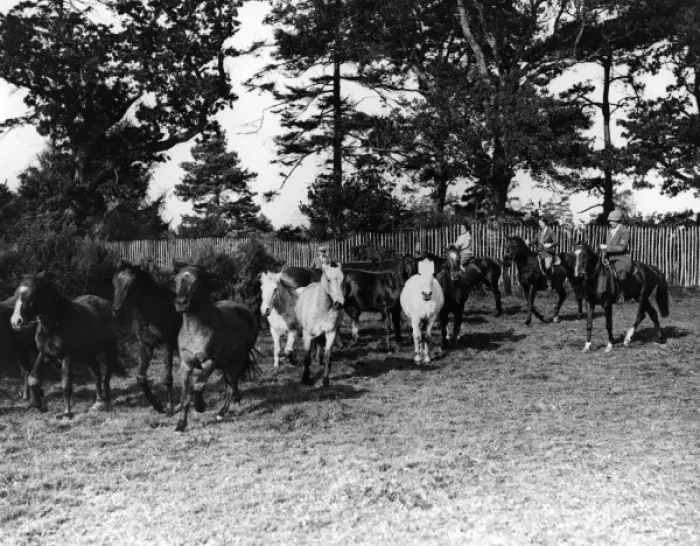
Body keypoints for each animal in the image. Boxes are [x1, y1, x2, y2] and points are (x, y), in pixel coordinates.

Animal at [10, 273, 127, 418]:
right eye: (16, 295)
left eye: (32, 296)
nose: (16, 322)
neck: (54, 326)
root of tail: (106, 303)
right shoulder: (45, 354)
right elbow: (33, 378)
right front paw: (39, 405)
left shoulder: (67, 356)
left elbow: (66, 385)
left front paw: (66, 413)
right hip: (88, 355)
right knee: (97, 372)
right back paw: (98, 402)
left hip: (109, 348)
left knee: (108, 371)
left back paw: (107, 399)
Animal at [112, 260, 181, 414]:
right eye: (114, 282)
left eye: (131, 284)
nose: (117, 310)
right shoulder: (145, 345)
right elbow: (140, 377)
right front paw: (158, 406)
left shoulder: (168, 344)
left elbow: (167, 378)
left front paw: (169, 407)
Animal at [173, 263, 260, 432]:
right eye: (176, 280)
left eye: (196, 281)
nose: (181, 304)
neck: (196, 331)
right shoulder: (185, 364)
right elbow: (185, 395)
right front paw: (180, 425)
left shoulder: (209, 362)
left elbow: (198, 386)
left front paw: (200, 407)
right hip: (225, 363)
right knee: (231, 383)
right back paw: (235, 401)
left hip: (234, 362)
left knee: (231, 383)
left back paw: (221, 412)